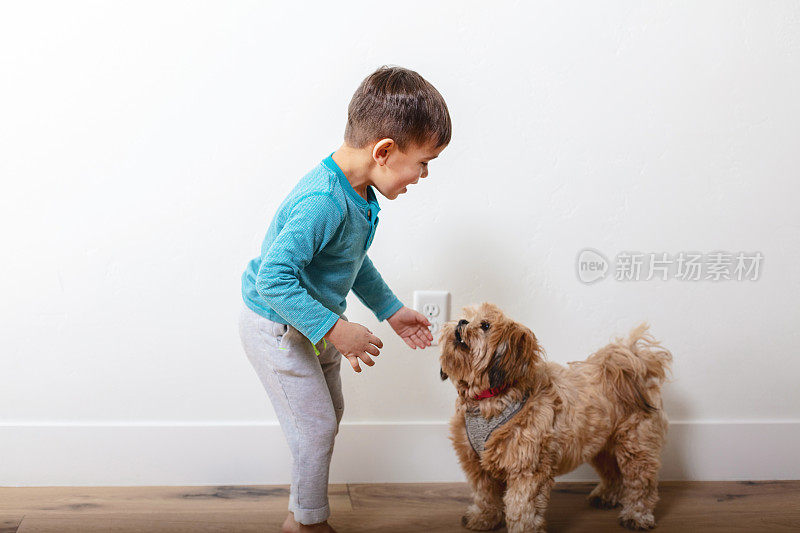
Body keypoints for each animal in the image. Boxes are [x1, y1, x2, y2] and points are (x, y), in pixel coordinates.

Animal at [440, 304, 672, 532]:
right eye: (465, 316)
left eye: (485, 325)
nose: (461, 322)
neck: (489, 399)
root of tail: (633, 365)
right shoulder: (476, 464)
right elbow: (485, 495)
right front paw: (483, 518)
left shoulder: (528, 467)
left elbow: (522, 507)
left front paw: (523, 528)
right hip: (601, 446)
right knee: (613, 474)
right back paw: (606, 496)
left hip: (636, 446)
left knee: (641, 484)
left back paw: (637, 515)